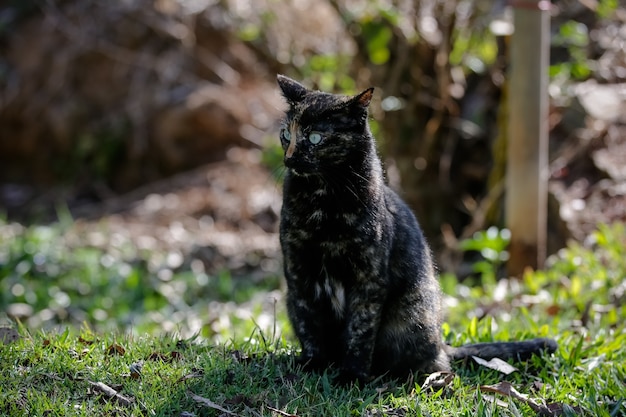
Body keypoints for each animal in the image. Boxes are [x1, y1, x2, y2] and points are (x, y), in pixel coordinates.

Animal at [276, 75, 552, 384]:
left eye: (314, 138)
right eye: (286, 134)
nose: (289, 159)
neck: (323, 205)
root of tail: (441, 343)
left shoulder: (369, 279)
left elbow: (360, 330)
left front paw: (352, 376)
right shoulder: (299, 272)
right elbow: (308, 321)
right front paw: (313, 364)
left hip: (412, 316)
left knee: (435, 362)